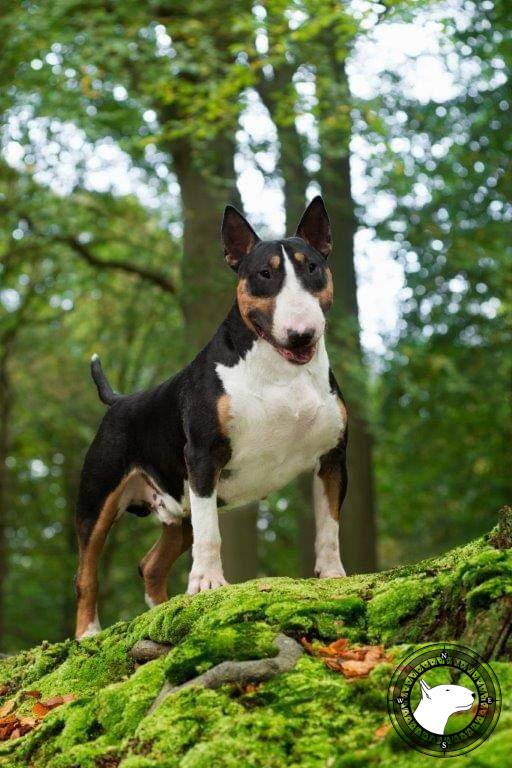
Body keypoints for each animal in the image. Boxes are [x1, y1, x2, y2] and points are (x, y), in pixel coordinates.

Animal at [75, 195, 348, 640]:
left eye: (312, 267)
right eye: (264, 273)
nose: (301, 335)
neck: (280, 370)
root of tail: (118, 400)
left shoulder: (332, 459)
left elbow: (329, 526)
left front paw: (333, 576)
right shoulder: (203, 457)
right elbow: (211, 536)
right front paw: (206, 585)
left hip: (178, 505)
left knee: (150, 564)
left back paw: (161, 610)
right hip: (98, 500)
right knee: (86, 571)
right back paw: (88, 632)